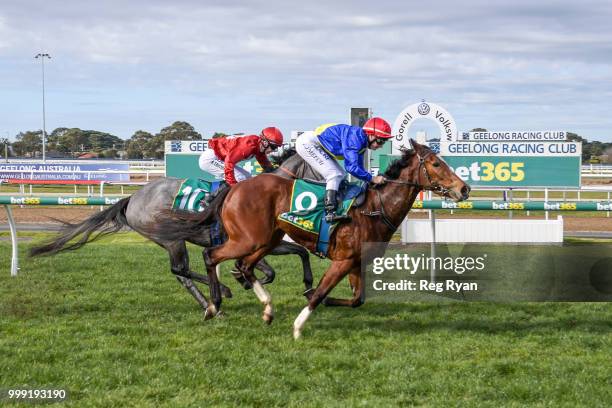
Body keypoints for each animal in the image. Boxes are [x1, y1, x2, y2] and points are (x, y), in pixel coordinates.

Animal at [163, 140, 468, 338]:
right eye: (436, 163)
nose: (464, 189)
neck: (375, 207)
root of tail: (235, 188)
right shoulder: (343, 260)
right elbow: (321, 292)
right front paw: (299, 326)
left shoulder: (356, 262)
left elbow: (357, 299)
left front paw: (317, 299)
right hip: (248, 240)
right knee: (211, 256)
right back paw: (214, 305)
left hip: (267, 240)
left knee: (245, 266)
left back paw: (267, 309)